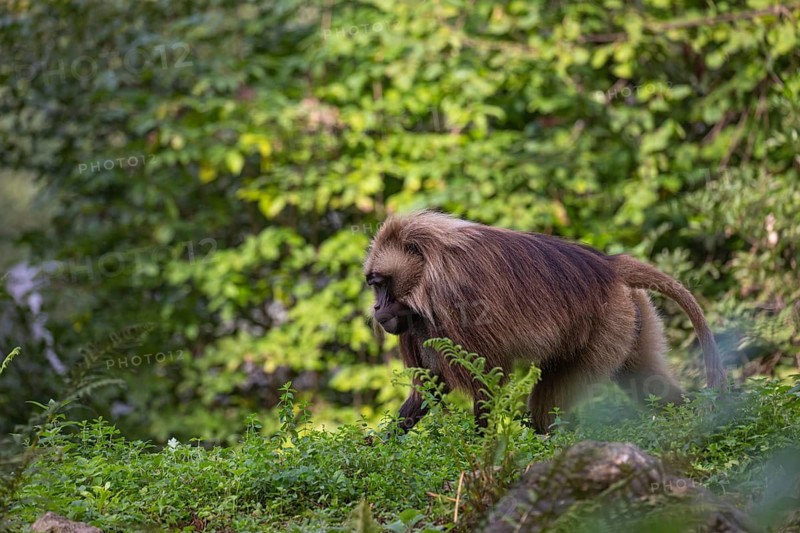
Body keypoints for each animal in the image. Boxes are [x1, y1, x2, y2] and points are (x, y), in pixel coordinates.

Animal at [364, 210, 727, 434]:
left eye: (380, 283)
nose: (376, 307)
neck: (427, 273)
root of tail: (611, 266)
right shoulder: (416, 322)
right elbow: (431, 386)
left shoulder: (457, 300)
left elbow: (489, 378)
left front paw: (480, 452)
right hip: (632, 319)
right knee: (647, 381)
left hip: (607, 325)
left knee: (547, 403)